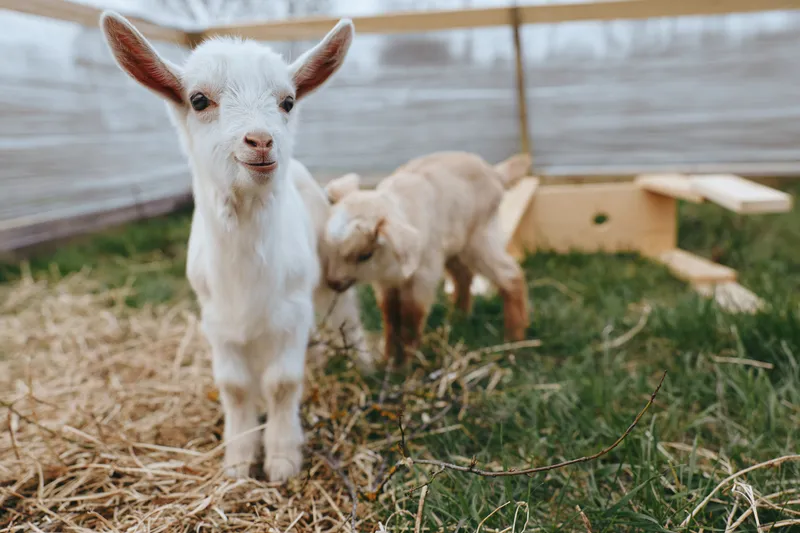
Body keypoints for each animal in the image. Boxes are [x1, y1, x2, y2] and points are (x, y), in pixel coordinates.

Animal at [100, 12, 369, 481]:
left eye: (288, 102)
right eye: (198, 100)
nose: (261, 141)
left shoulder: (292, 311)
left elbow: (282, 383)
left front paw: (281, 459)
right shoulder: (217, 320)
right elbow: (236, 386)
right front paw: (239, 461)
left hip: (328, 274)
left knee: (345, 314)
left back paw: (365, 363)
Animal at [322, 151, 532, 366]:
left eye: (365, 255)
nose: (333, 282)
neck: (392, 267)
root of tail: (495, 173)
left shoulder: (424, 275)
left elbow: (411, 317)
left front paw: (405, 365)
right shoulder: (385, 283)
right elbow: (390, 316)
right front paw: (387, 359)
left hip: (478, 239)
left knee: (511, 274)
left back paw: (514, 338)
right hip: (453, 248)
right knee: (464, 276)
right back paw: (457, 319)